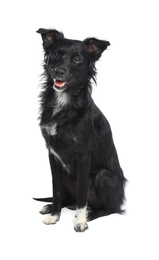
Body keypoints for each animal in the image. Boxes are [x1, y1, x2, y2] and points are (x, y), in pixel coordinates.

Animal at [35, 28, 126, 232]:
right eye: (55, 54)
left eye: (77, 59)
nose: (58, 71)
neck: (64, 102)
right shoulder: (52, 154)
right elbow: (56, 190)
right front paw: (55, 216)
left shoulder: (84, 156)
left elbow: (82, 194)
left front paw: (80, 221)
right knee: (68, 198)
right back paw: (52, 206)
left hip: (104, 176)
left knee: (110, 208)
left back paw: (91, 213)